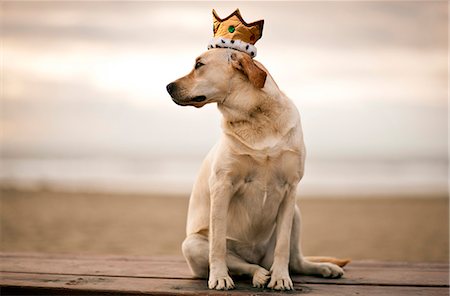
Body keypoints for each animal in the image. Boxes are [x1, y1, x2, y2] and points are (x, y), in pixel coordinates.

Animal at [165, 47, 348, 290]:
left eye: (199, 65)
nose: (168, 86)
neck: (255, 118)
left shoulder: (290, 189)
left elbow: (283, 246)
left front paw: (281, 277)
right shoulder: (222, 186)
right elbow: (218, 245)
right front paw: (219, 277)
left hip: (296, 213)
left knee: (296, 261)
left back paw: (323, 268)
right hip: (192, 244)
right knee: (240, 264)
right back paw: (258, 274)